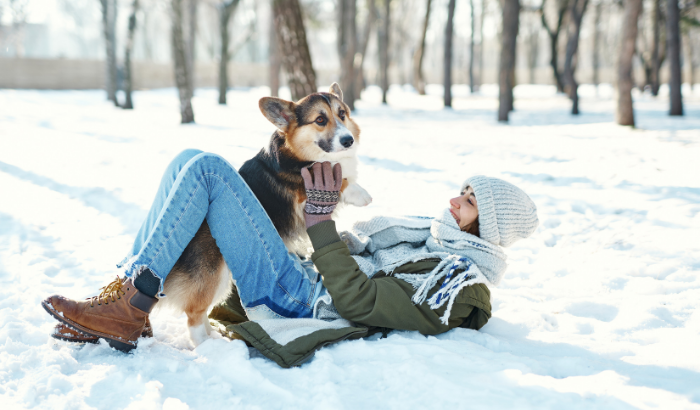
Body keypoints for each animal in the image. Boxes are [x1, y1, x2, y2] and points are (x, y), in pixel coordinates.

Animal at [159, 83, 372, 346]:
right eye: (320, 119)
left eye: (342, 114)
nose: (348, 140)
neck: (303, 154)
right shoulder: (304, 192)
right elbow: (338, 180)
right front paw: (360, 193)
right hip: (215, 274)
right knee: (194, 314)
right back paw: (207, 345)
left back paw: (215, 336)